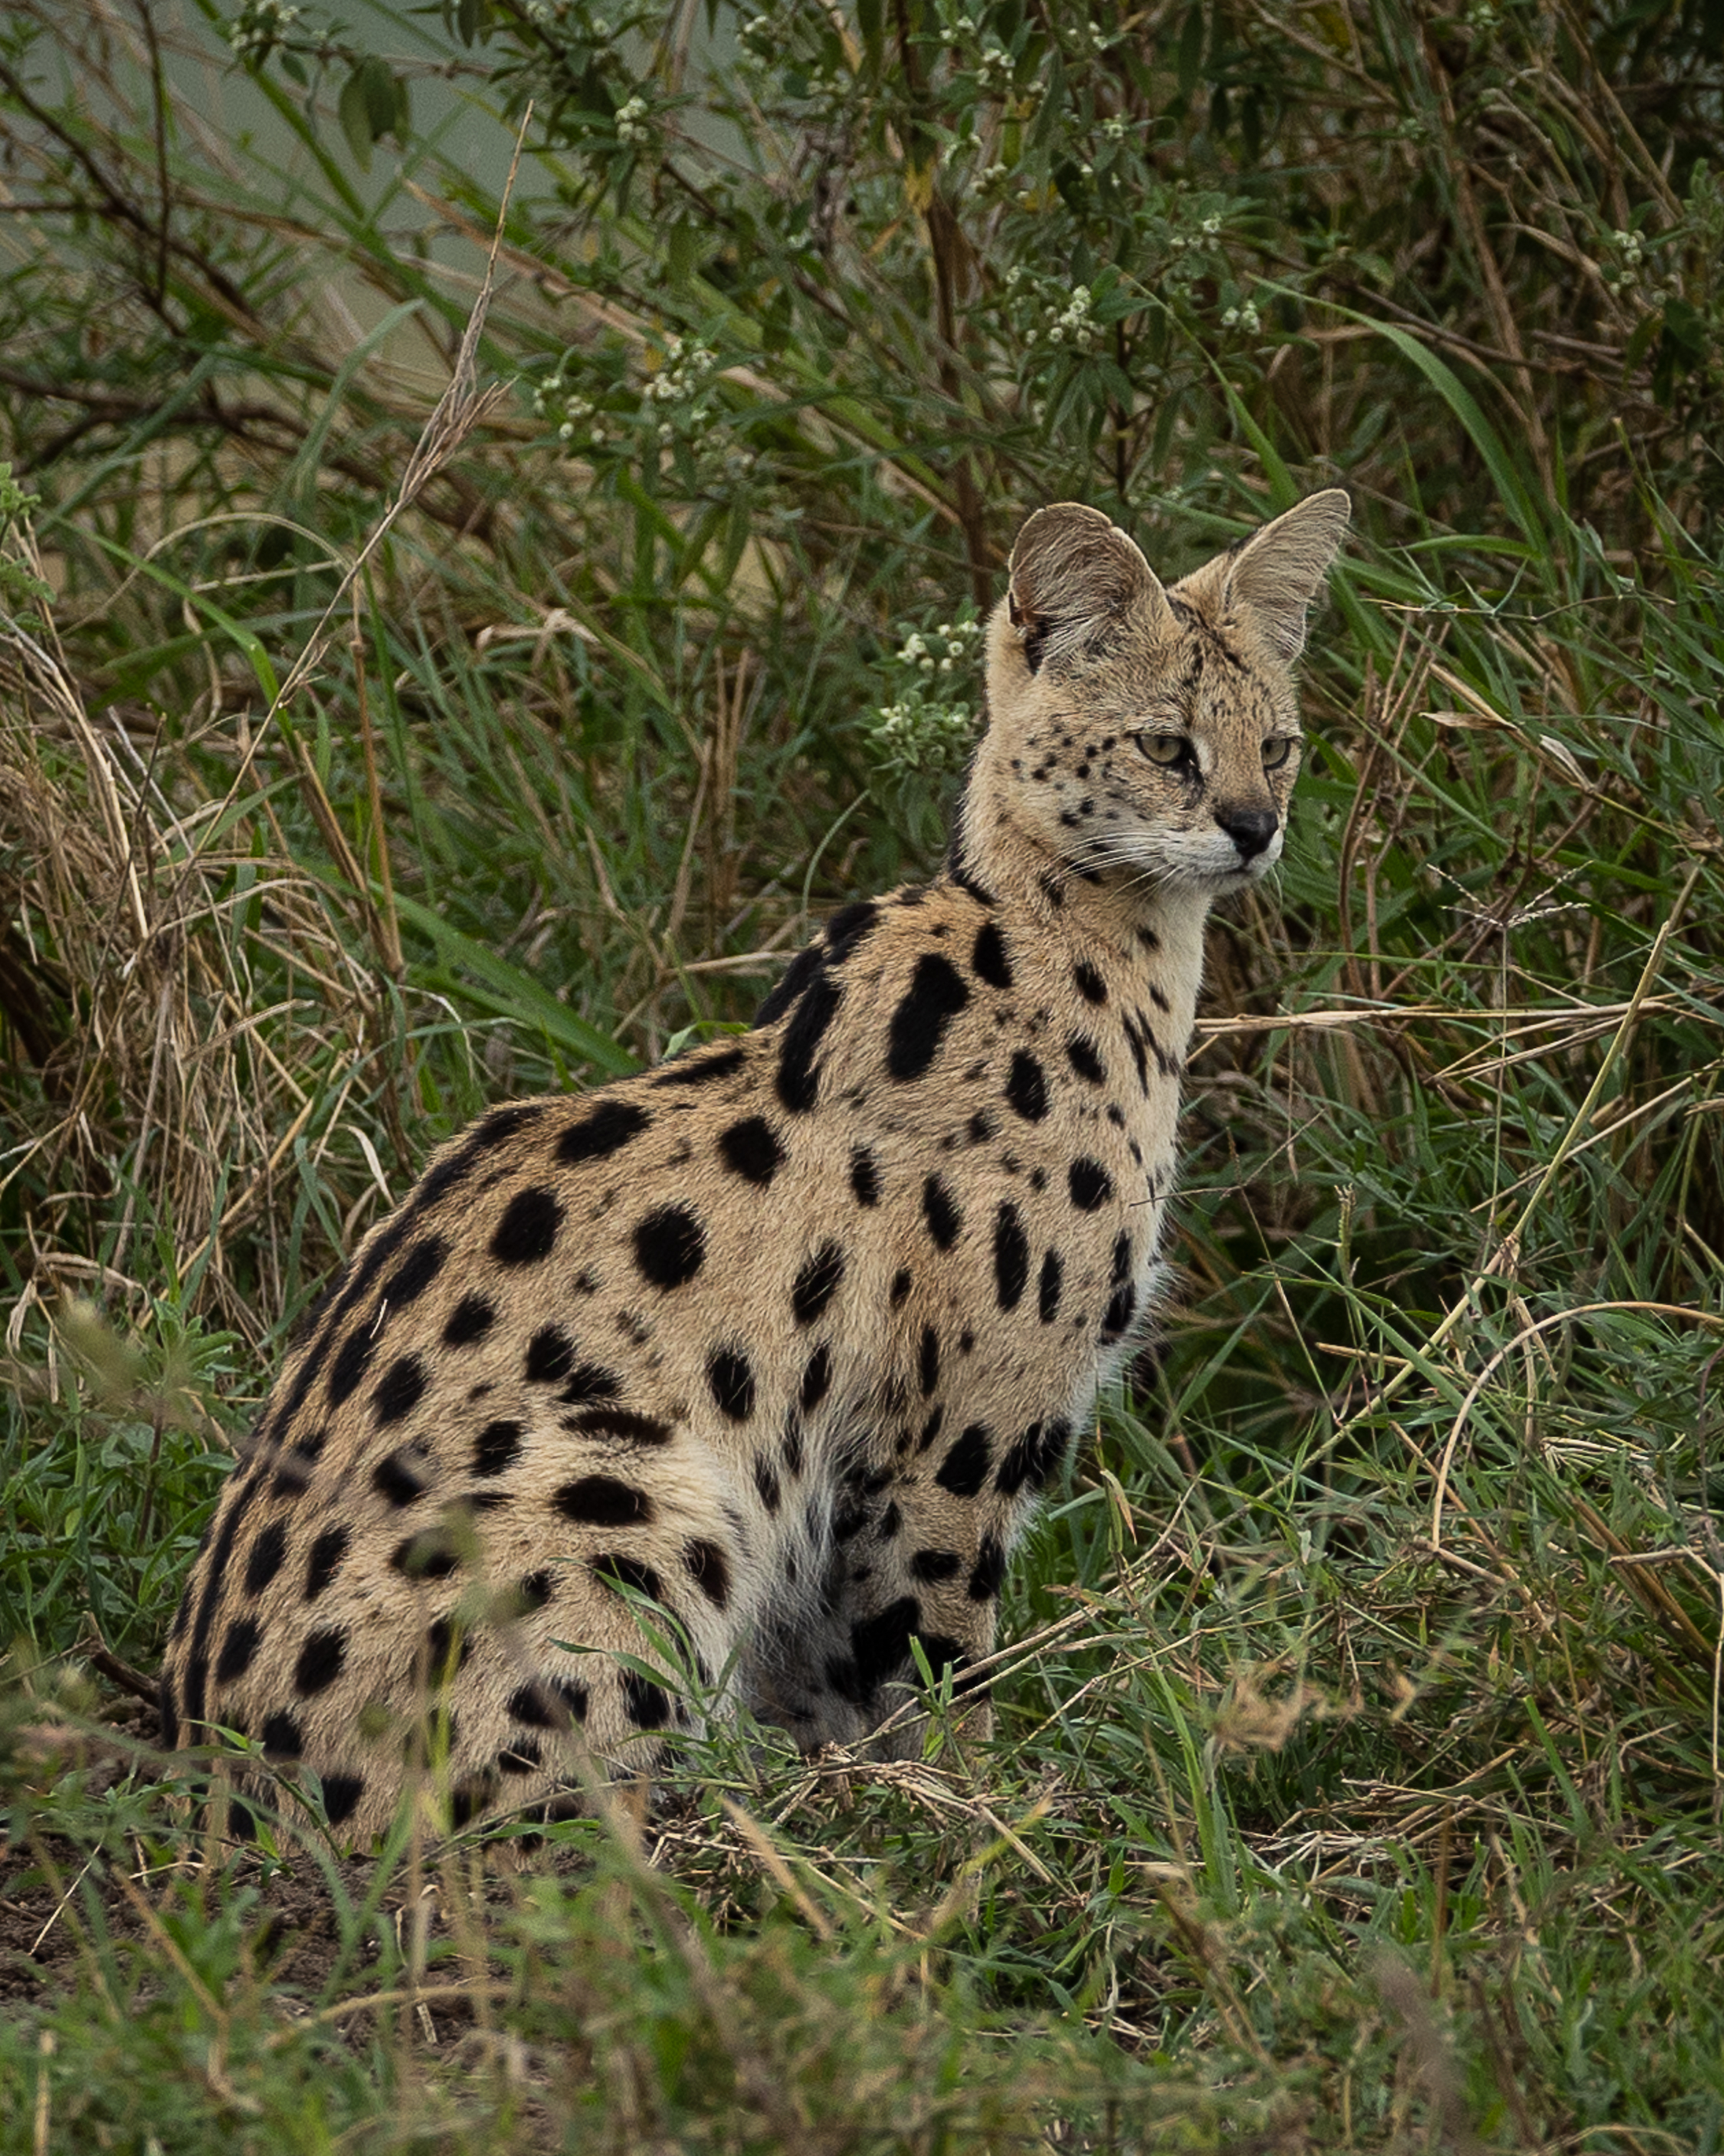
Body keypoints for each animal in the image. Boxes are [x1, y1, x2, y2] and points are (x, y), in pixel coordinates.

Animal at [159, 489, 1350, 1846]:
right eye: (1166, 746)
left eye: (1282, 744)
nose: (1256, 828)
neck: (1094, 960)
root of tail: (218, 1791)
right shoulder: (956, 1434)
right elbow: (931, 1652)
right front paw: (978, 1813)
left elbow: (839, 1673)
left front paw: (894, 1801)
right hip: (620, 1488)